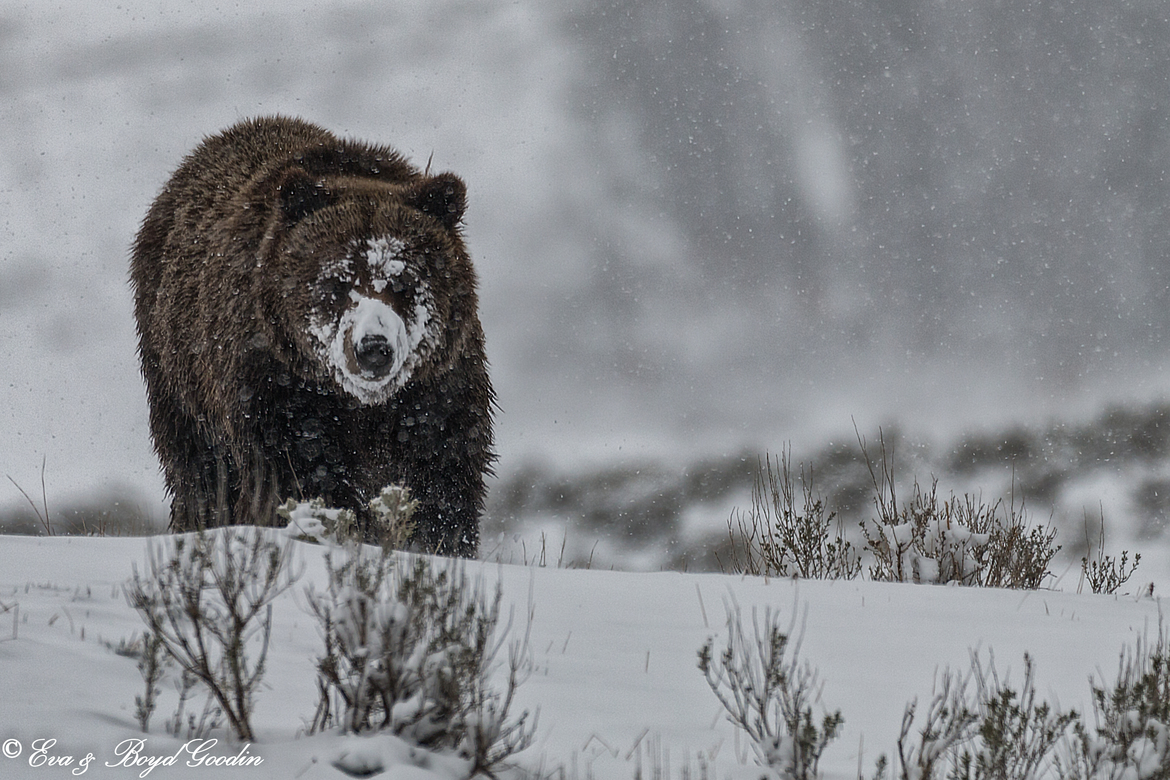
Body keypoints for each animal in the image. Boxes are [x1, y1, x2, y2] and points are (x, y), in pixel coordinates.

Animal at [130, 116, 494, 556]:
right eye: (338, 282)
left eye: (402, 281)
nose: (374, 348)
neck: (362, 406)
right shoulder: (278, 389)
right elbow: (300, 473)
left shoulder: (437, 390)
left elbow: (443, 477)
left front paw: (435, 542)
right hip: (180, 373)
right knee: (200, 472)